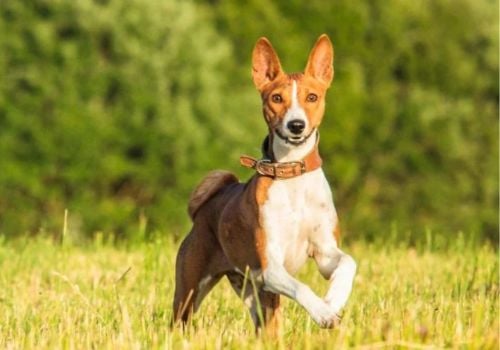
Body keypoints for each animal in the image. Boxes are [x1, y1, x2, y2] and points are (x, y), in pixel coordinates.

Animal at [174, 34, 358, 334]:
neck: (292, 175)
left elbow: (348, 263)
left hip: (256, 295)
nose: (296, 125)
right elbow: (302, 287)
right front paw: (323, 312)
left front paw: (333, 300)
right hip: (191, 292)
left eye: (312, 97)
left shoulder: (324, 253)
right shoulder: (270, 267)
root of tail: (205, 208)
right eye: (276, 98)